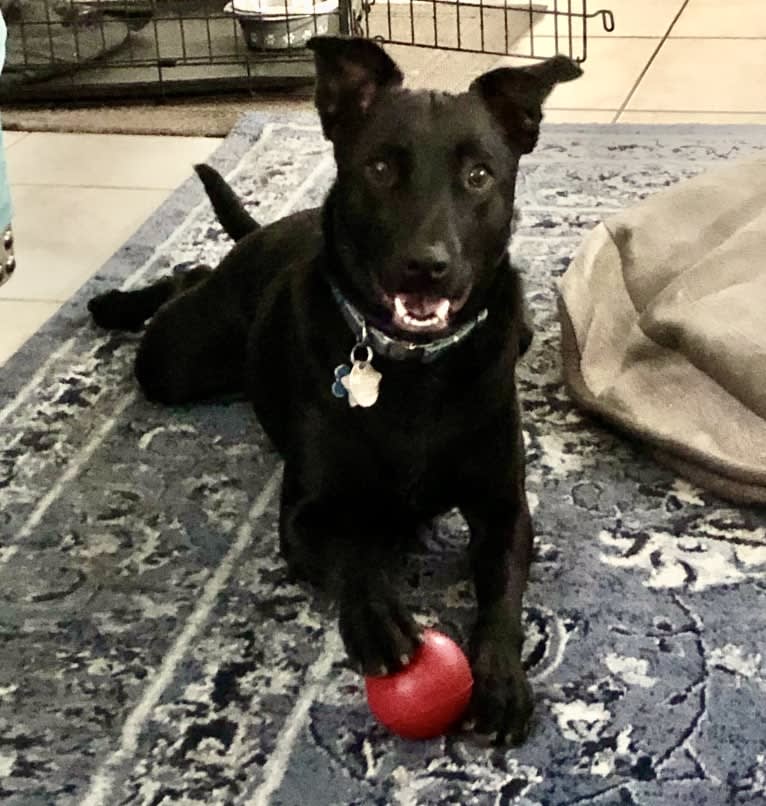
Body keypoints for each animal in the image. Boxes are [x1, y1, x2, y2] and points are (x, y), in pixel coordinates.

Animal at [88, 38, 584, 744]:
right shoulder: (305, 517)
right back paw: (117, 302)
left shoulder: (503, 510)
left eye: (479, 175)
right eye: (379, 168)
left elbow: (503, 595)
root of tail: (266, 231)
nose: (427, 265)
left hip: (520, 333)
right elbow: (355, 557)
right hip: (173, 361)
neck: (411, 369)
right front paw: (379, 623)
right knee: (188, 276)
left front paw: (502, 677)